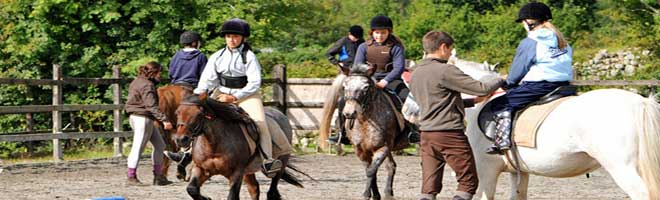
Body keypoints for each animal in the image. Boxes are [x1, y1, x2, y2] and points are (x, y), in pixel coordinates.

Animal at [171, 95, 302, 200]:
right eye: (177, 113)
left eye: (199, 114)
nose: (181, 139)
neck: (214, 145)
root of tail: (280, 114)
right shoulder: (201, 169)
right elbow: (192, 189)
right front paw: (206, 198)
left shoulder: (237, 172)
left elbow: (232, 196)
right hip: (248, 171)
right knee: (254, 189)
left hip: (281, 161)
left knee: (272, 191)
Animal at [342, 64, 410, 200]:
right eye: (345, 86)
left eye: (365, 87)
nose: (349, 113)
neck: (365, 121)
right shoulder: (361, 150)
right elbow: (371, 170)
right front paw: (376, 195)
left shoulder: (383, 148)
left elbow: (371, 171)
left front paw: (366, 194)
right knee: (391, 166)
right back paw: (388, 193)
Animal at [402, 57, 660, 198]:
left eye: (413, 82)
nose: (407, 112)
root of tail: (641, 103)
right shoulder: (519, 173)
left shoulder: (486, 172)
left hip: (623, 169)